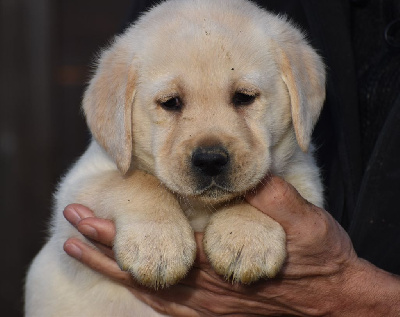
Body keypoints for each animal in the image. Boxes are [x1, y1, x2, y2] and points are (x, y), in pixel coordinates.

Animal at [25, 0, 324, 314]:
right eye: (170, 103)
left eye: (244, 97)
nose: (210, 160)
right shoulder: (77, 192)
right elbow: (138, 183)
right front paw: (158, 245)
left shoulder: (303, 173)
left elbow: (263, 186)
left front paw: (246, 237)